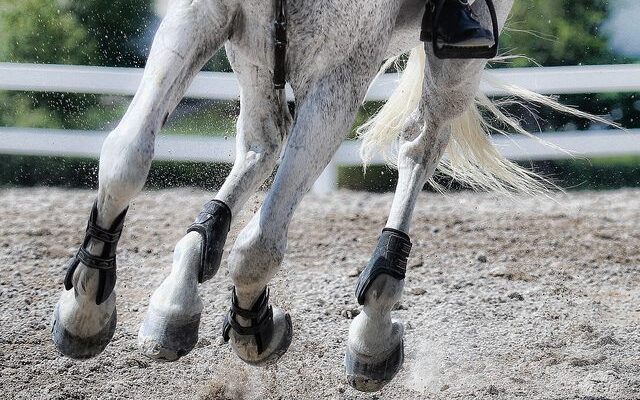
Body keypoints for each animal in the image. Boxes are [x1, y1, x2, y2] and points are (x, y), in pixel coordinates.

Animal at [50, 0, 562, 392]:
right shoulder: (201, 14)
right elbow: (126, 157)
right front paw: (86, 303)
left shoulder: (342, 71)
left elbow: (259, 245)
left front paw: (255, 322)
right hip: (255, 51)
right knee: (263, 141)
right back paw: (184, 279)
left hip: (452, 60)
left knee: (420, 146)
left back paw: (374, 326)